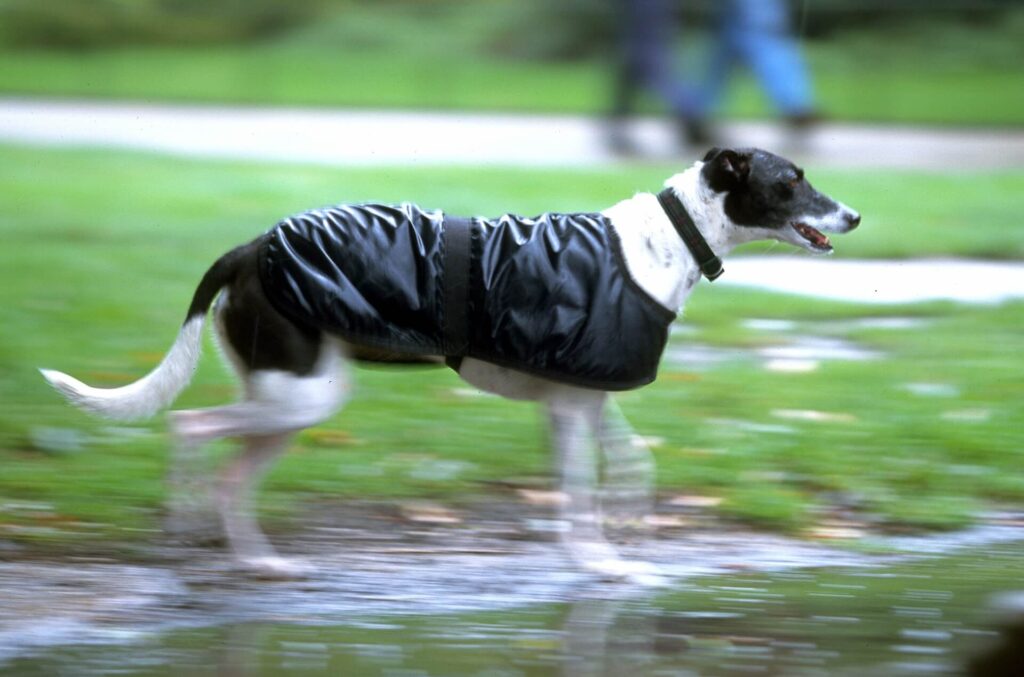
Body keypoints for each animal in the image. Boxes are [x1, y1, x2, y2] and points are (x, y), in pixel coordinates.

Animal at [37, 147, 856, 581]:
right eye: (790, 181)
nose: (852, 215)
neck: (666, 239)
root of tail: (251, 246)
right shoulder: (573, 408)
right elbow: (584, 493)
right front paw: (602, 564)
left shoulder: (580, 402)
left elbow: (628, 467)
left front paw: (613, 540)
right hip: (295, 397)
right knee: (192, 430)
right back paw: (184, 525)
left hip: (291, 400)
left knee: (231, 478)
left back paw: (262, 564)